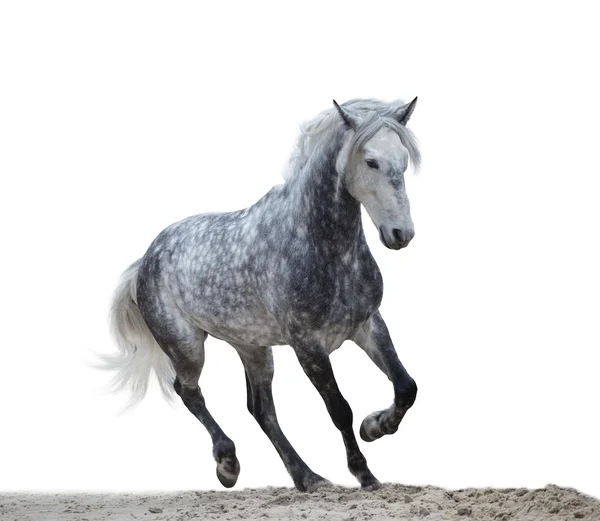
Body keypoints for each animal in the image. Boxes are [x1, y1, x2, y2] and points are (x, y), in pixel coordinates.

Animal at [103, 97, 422, 492]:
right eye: (371, 161)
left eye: (404, 160)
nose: (401, 234)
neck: (320, 246)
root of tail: (146, 260)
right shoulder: (308, 346)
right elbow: (339, 410)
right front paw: (364, 472)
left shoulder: (368, 325)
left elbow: (406, 386)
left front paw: (375, 426)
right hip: (187, 347)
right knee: (189, 391)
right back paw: (228, 464)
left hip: (252, 348)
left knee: (261, 410)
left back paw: (307, 477)